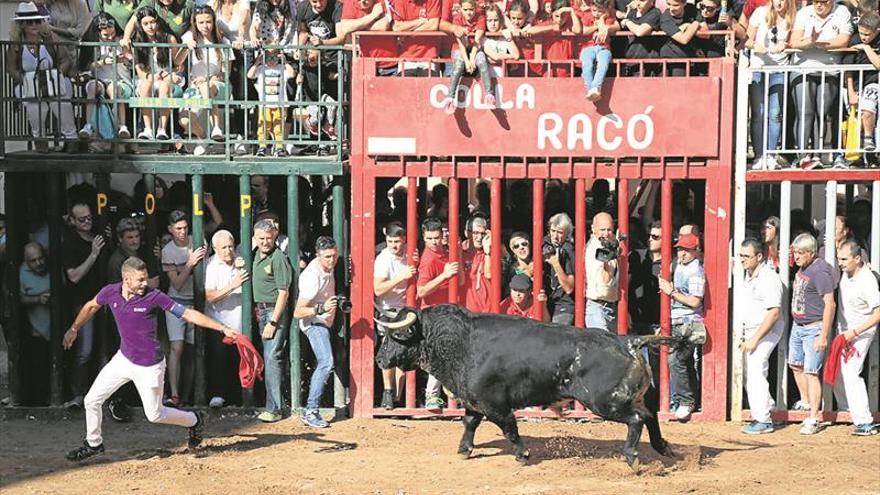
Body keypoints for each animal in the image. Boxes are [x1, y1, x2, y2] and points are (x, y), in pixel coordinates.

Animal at [372, 304, 680, 470]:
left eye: (394, 336)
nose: (379, 359)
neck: (461, 343)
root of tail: (627, 341)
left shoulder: (495, 404)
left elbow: (509, 427)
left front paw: (522, 454)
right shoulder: (474, 401)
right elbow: (469, 423)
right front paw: (464, 450)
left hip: (606, 402)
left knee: (637, 419)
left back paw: (632, 457)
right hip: (629, 398)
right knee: (650, 415)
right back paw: (663, 448)